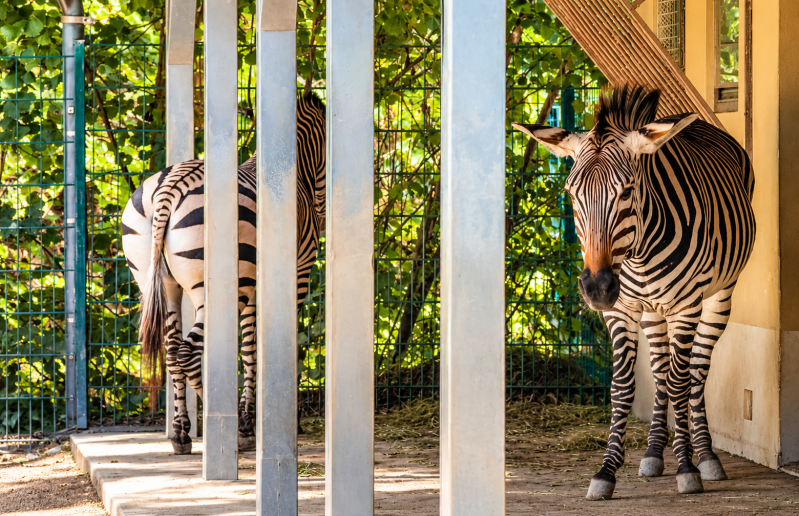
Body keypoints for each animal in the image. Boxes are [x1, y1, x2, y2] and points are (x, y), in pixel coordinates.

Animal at [121, 92, 326, 454]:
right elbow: (273, 346)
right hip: (216, 287)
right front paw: (262, 420)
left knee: (173, 351)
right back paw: (230, 426)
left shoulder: (257, 285)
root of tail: (169, 188)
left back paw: (182, 433)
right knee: (189, 353)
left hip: (159, 281)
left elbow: (250, 347)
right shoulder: (296, 274)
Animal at [512, 84, 755, 500]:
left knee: (695, 371)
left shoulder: (686, 305)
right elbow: (624, 385)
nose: (597, 287)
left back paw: (705, 456)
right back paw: (655, 452)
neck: (638, 255)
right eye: (570, 193)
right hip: (651, 310)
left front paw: (687, 467)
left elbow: (680, 382)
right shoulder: (620, 310)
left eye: (627, 191)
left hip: (719, 295)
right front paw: (607, 471)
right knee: (659, 370)